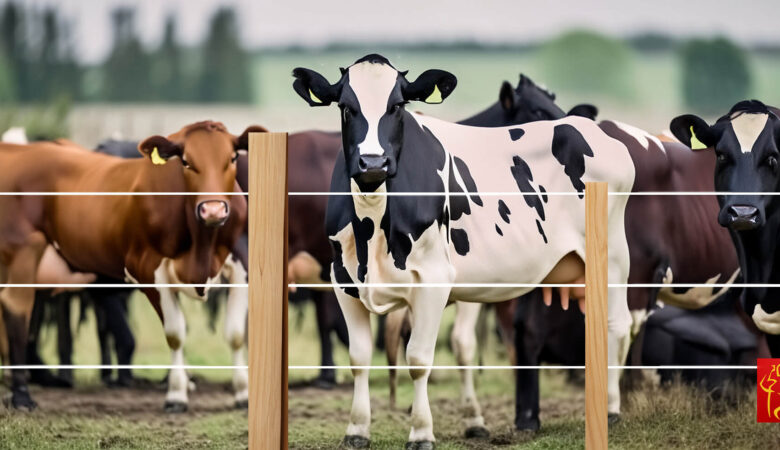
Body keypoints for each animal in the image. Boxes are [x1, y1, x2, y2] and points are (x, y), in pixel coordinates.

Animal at [0, 121, 260, 412]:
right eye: (186, 161)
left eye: (232, 158)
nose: (213, 210)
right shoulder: (147, 271)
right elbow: (173, 333)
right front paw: (176, 394)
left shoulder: (241, 267)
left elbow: (235, 334)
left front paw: (242, 394)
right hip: (24, 253)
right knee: (16, 307)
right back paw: (22, 394)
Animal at [292, 54, 634, 448]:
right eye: (346, 107)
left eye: (397, 106)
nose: (373, 163)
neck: (373, 224)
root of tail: (590, 129)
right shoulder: (342, 279)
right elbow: (359, 357)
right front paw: (357, 429)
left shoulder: (437, 280)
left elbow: (425, 357)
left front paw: (424, 430)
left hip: (613, 257)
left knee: (616, 323)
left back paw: (611, 409)